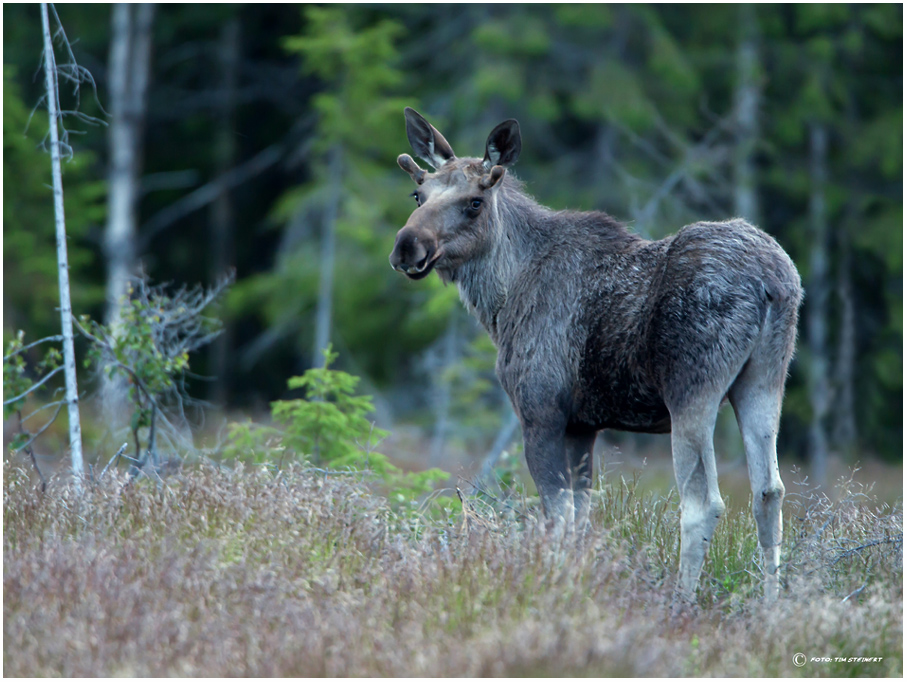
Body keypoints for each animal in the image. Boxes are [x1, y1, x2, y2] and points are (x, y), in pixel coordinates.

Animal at [390, 107, 800, 600]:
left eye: (474, 202)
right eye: (418, 194)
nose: (407, 246)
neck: (501, 300)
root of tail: (773, 282)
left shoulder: (541, 412)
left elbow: (558, 517)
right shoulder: (583, 425)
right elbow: (582, 518)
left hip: (693, 389)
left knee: (704, 503)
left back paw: (681, 603)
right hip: (765, 378)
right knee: (768, 492)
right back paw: (771, 604)